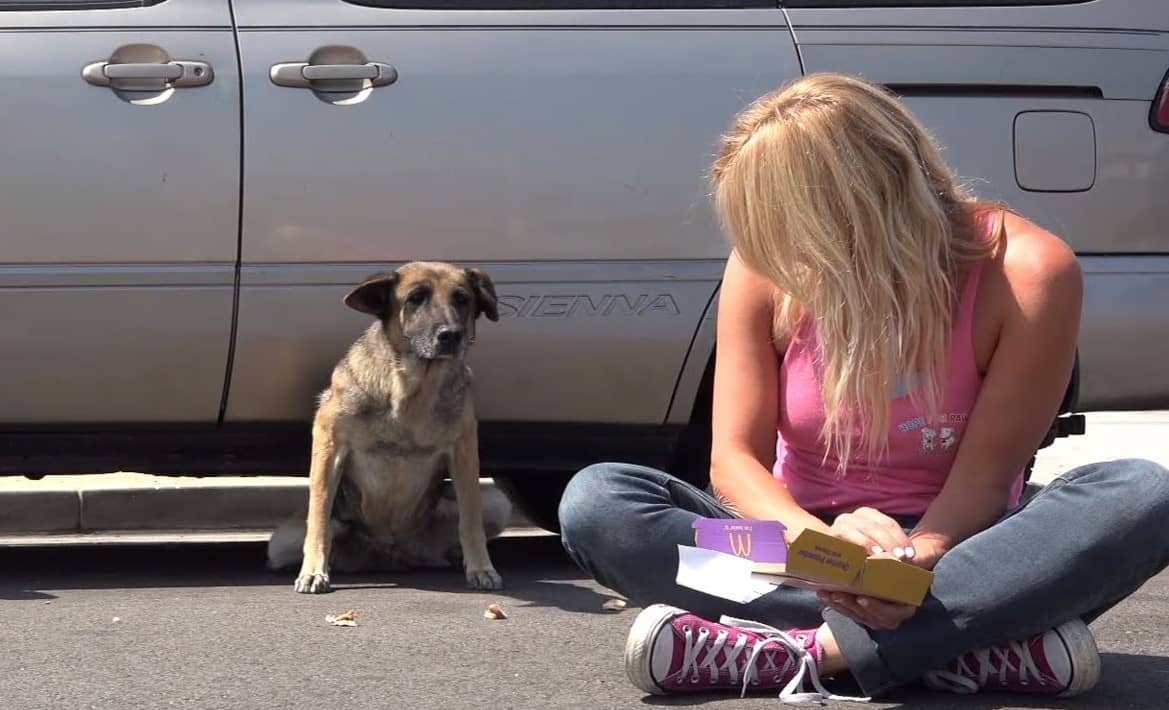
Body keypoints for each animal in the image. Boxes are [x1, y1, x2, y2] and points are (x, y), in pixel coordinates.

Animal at [271, 260, 514, 594]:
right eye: (416, 298)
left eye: (461, 299)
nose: (451, 335)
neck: (412, 388)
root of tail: (391, 554)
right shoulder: (329, 443)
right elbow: (319, 516)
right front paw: (313, 571)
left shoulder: (464, 453)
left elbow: (470, 520)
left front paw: (480, 567)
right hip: (282, 540)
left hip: (496, 502)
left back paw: (454, 557)